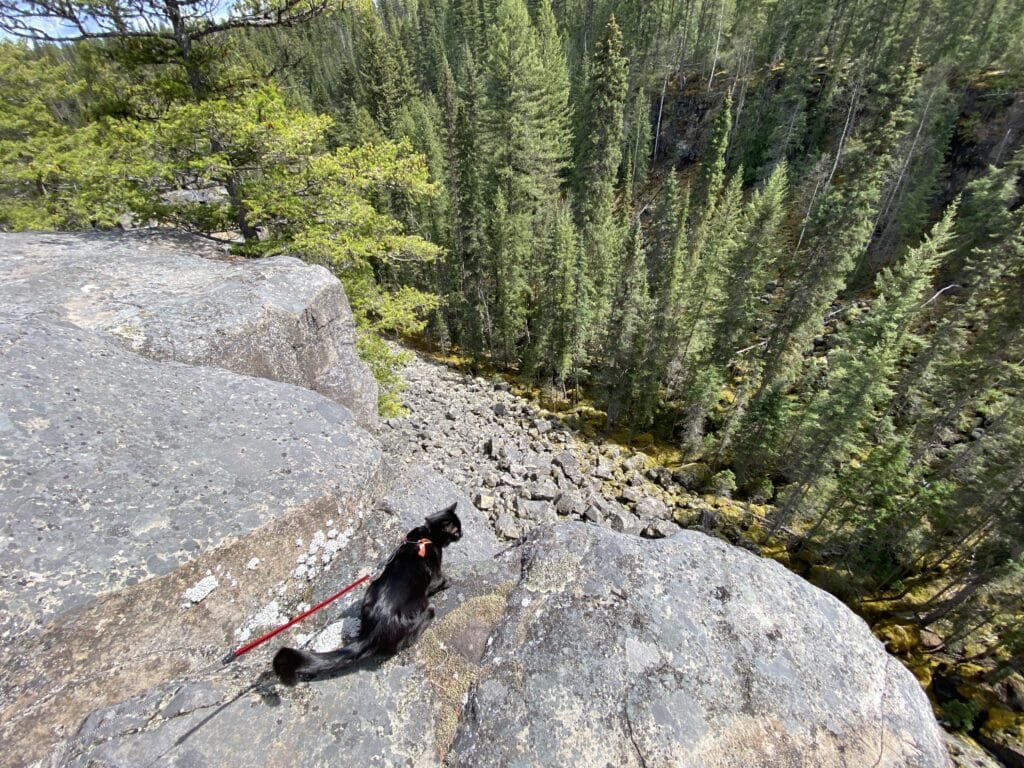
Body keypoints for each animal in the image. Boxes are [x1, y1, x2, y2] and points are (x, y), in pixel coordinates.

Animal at [272, 505, 464, 684]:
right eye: (456, 531)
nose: (462, 534)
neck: (427, 536)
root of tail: (371, 633)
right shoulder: (435, 574)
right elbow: (441, 580)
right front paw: (450, 580)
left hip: (371, 588)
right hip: (424, 607)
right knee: (411, 634)